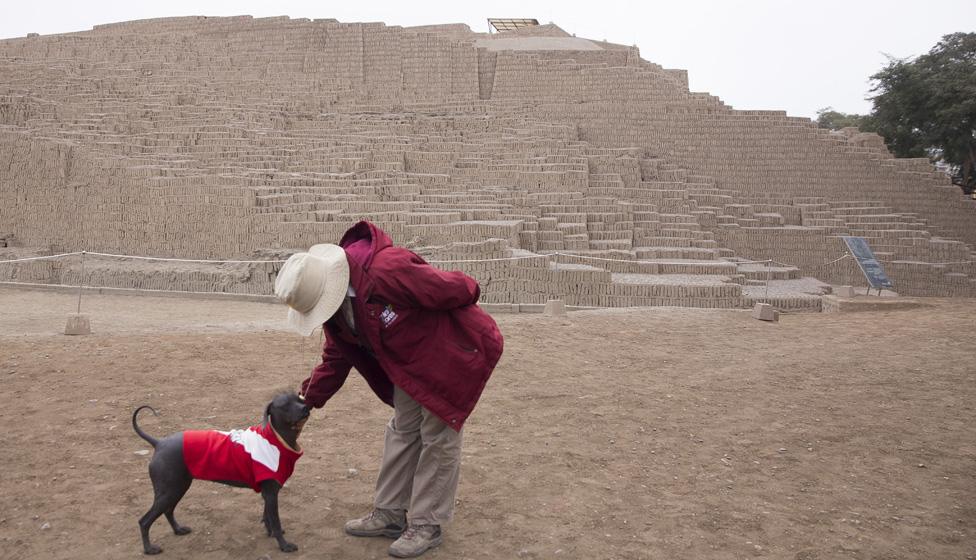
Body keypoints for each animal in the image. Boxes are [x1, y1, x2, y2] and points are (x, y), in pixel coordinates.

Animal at [132, 394, 308, 556]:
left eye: (299, 399)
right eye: (284, 405)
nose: (306, 408)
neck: (275, 439)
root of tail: (159, 443)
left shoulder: (267, 492)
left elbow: (268, 517)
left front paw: (270, 532)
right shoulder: (271, 492)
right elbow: (276, 522)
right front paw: (284, 545)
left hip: (178, 488)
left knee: (168, 511)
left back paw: (178, 529)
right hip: (170, 491)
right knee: (144, 521)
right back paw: (149, 549)